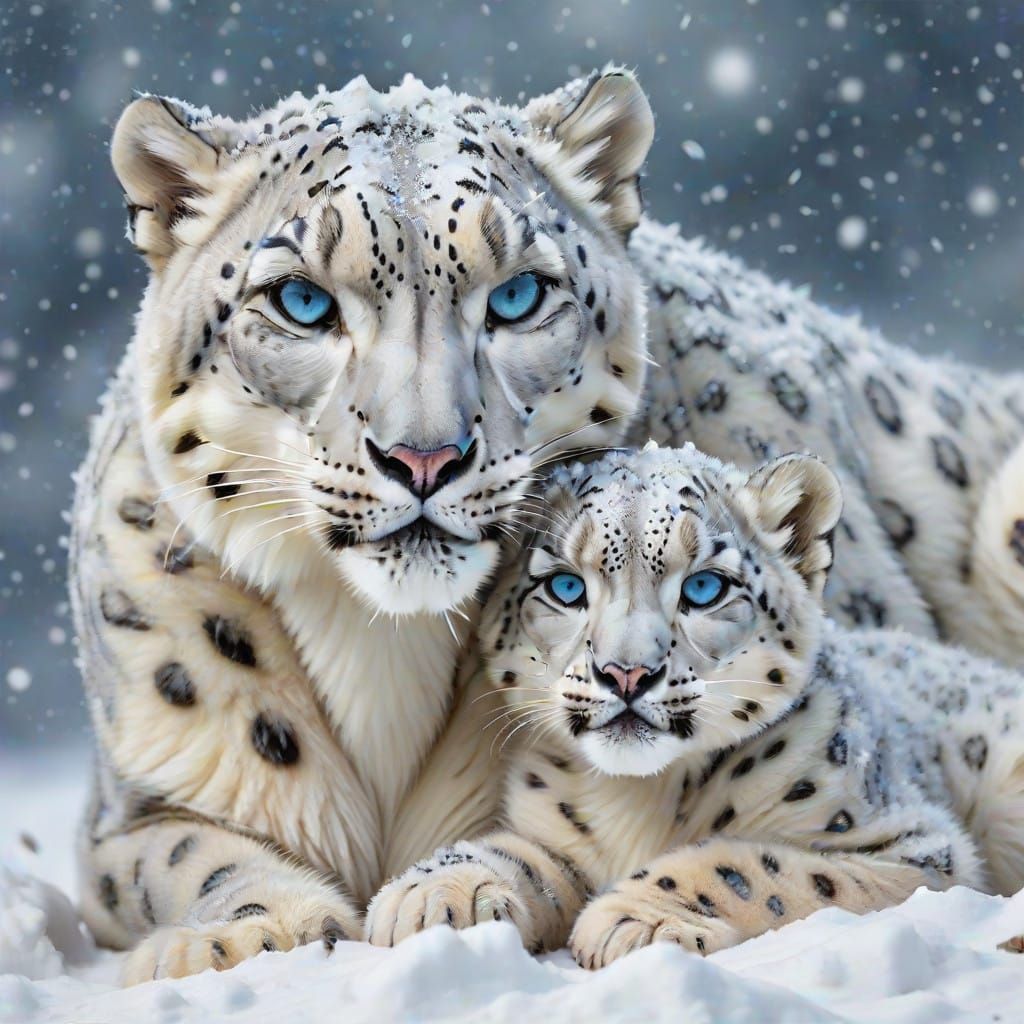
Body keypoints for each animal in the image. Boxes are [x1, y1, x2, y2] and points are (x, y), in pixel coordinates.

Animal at [366, 442, 1024, 966]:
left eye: (705, 587)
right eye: (566, 586)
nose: (626, 673)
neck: (637, 801)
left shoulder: (916, 847)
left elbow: (765, 867)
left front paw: (633, 917)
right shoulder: (552, 827)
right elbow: (525, 853)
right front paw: (436, 893)